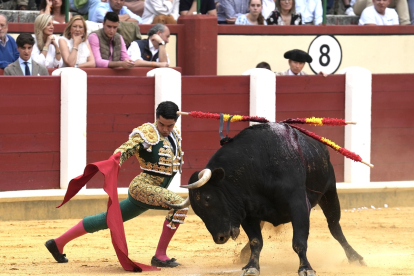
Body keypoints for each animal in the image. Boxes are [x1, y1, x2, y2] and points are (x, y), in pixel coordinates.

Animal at [168, 123, 366, 276]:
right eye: (197, 210)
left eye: (208, 198)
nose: (220, 237)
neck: (256, 167)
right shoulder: (247, 213)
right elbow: (256, 241)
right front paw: (251, 267)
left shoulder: (299, 206)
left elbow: (299, 241)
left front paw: (306, 268)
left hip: (329, 192)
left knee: (334, 226)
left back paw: (355, 257)